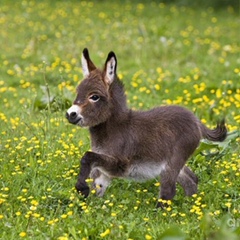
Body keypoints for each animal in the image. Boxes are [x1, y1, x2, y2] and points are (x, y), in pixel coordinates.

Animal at [66, 47, 227, 207]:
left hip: (173, 162)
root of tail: (196, 121)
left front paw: (81, 188)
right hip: (176, 163)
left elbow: (87, 156)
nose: (70, 114)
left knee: (169, 191)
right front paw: (90, 204)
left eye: (94, 97)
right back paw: (192, 207)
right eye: (77, 93)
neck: (113, 128)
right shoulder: (104, 169)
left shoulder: (121, 165)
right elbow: (97, 185)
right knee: (191, 180)